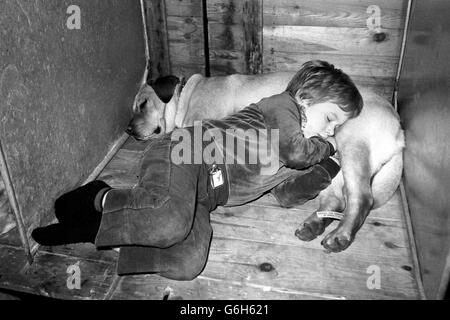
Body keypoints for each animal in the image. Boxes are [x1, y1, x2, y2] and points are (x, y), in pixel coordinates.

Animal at [125, 70, 404, 252]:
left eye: (143, 104)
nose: (128, 129)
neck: (186, 94)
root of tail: (399, 133)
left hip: (351, 144)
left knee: (361, 198)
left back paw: (341, 235)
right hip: (339, 167)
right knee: (336, 199)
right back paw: (314, 224)